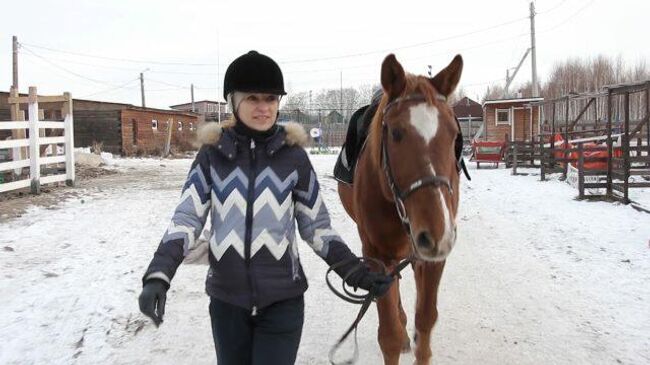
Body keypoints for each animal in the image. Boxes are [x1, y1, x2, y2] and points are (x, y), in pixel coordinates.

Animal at [336, 54, 464, 364]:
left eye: (454, 135)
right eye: (395, 133)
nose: (436, 233)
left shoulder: (433, 257)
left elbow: (426, 323)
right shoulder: (377, 257)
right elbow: (390, 336)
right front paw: (400, 331)